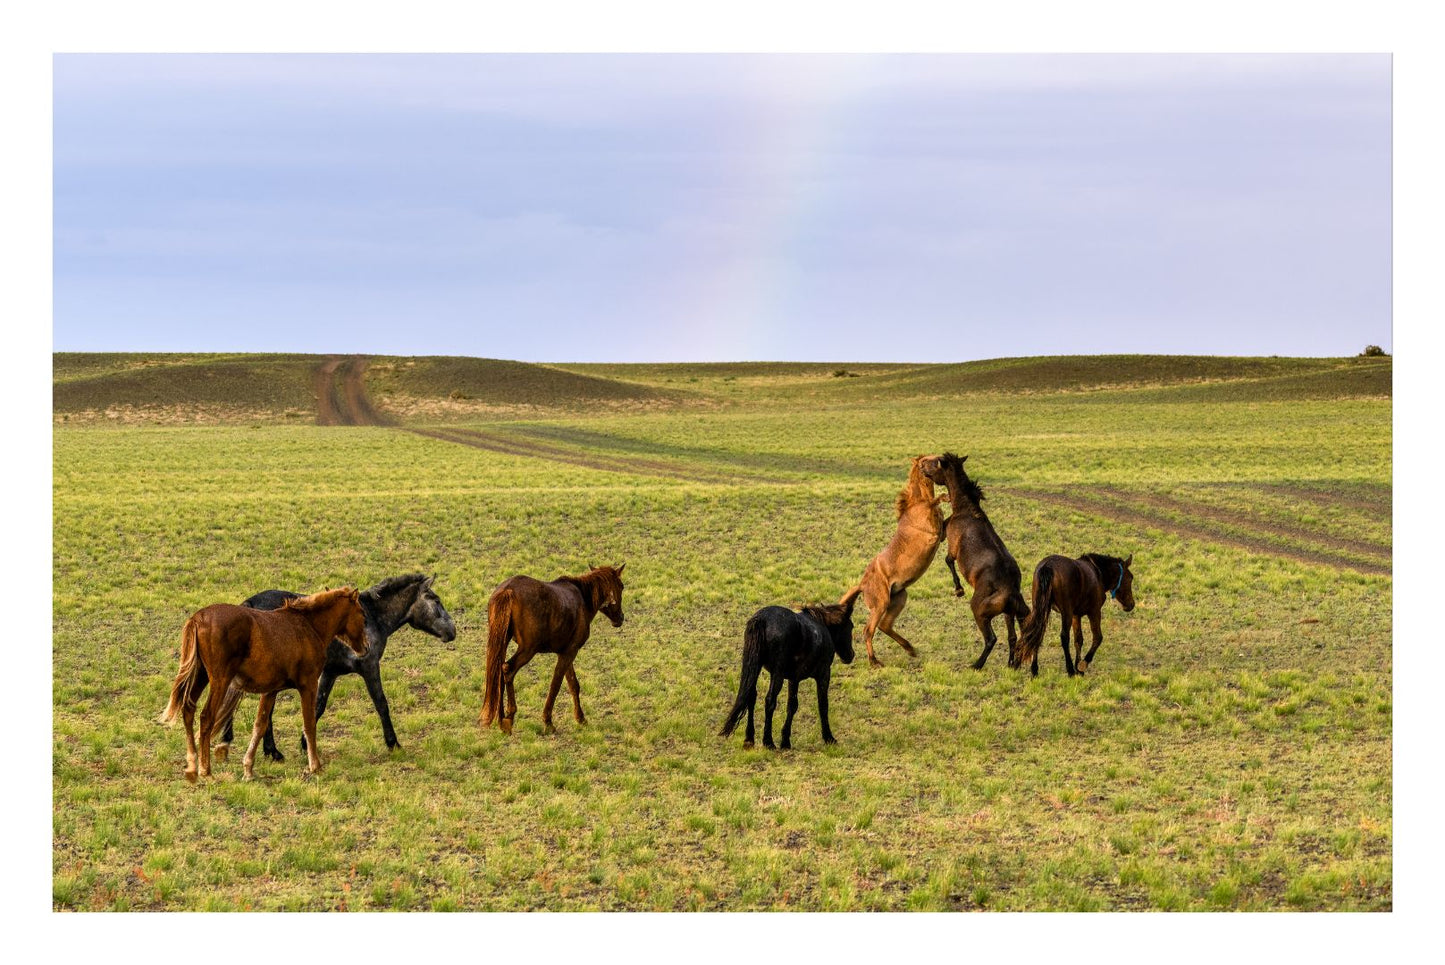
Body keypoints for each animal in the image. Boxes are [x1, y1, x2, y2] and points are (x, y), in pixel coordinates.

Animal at [159, 583, 367, 780]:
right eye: (362, 614)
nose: (365, 647)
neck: (307, 625)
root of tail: (198, 617)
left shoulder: (270, 690)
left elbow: (260, 725)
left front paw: (248, 769)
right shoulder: (308, 685)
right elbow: (309, 724)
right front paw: (315, 766)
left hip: (201, 675)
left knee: (188, 709)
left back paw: (193, 764)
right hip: (220, 680)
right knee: (206, 717)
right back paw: (206, 770)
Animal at [482, 560, 624, 733]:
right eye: (621, 586)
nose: (620, 618)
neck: (583, 598)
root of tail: (508, 591)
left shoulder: (565, 652)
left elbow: (573, 684)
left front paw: (580, 718)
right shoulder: (570, 652)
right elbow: (556, 685)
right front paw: (548, 721)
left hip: (502, 644)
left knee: (499, 672)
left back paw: (501, 718)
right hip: (528, 650)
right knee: (508, 669)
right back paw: (508, 718)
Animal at [716, 598, 849, 751]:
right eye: (850, 626)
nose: (850, 655)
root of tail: (761, 619)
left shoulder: (794, 679)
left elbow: (792, 705)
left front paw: (785, 741)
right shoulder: (823, 674)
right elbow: (822, 705)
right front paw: (828, 737)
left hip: (756, 667)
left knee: (751, 696)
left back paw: (749, 739)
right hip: (777, 674)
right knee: (770, 701)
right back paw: (768, 741)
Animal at [838, 456, 947, 667]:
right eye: (925, 461)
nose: (940, 460)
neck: (917, 503)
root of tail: (862, 585)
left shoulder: (941, 535)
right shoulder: (932, 533)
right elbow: (934, 505)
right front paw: (946, 497)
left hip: (899, 598)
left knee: (885, 625)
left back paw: (910, 649)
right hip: (881, 603)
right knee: (868, 630)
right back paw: (875, 661)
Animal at [919, 453, 1034, 667]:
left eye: (936, 463)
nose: (921, 464)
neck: (966, 509)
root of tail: (1011, 591)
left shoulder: (953, 547)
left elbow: (948, 560)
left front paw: (958, 590)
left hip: (980, 612)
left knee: (991, 639)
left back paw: (977, 665)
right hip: (1010, 614)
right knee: (1015, 637)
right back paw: (1012, 664)